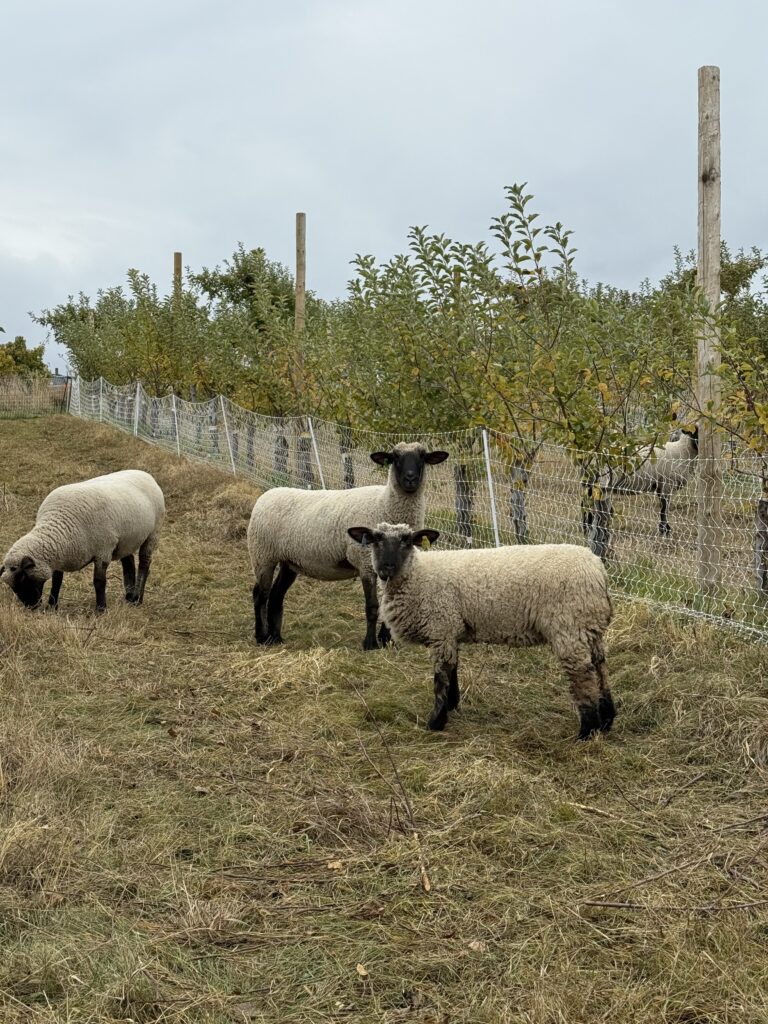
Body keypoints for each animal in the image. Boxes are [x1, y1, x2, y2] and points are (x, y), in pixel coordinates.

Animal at [0, 470, 165, 613]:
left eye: (23, 578)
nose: (31, 606)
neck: (61, 526)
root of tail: (146, 474)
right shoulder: (59, 554)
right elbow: (57, 580)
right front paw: (52, 607)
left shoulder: (103, 550)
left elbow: (99, 581)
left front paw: (101, 610)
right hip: (125, 540)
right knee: (129, 563)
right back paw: (129, 597)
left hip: (153, 532)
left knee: (144, 564)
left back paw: (137, 599)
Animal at [247, 442, 449, 649]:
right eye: (395, 458)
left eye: (422, 457)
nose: (410, 479)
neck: (384, 503)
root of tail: (267, 494)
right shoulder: (366, 563)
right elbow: (372, 606)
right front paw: (370, 644)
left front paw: (386, 641)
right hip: (262, 555)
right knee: (260, 594)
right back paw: (261, 637)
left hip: (289, 561)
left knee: (276, 595)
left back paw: (275, 638)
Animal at [347, 522, 614, 738]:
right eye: (376, 540)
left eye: (406, 540)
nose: (386, 568)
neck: (417, 575)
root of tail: (598, 570)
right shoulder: (450, 630)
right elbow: (453, 669)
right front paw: (452, 706)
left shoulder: (441, 626)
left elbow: (440, 677)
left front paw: (436, 721)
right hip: (588, 627)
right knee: (601, 668)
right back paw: (607, 720)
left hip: (568, 627)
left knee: (583, 676)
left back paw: (587, 731)